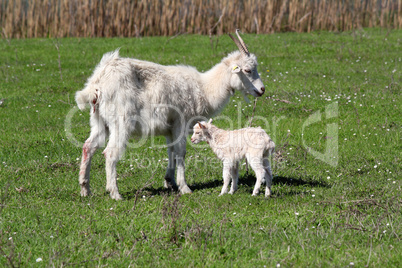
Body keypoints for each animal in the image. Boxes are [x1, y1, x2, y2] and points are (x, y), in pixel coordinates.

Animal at [75, 30, 266, 200]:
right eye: (247, 70)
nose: (262, 90)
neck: (204, 88)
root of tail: (97, 83)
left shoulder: (169, 127)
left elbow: (171, 151)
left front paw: (170, 182)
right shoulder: (181, 122)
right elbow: (181, 151)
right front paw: (184, 187)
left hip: (100, 120)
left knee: (88, 146)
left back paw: (85, 189)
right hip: (121, 121)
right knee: (110, 152)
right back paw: (115, 193)